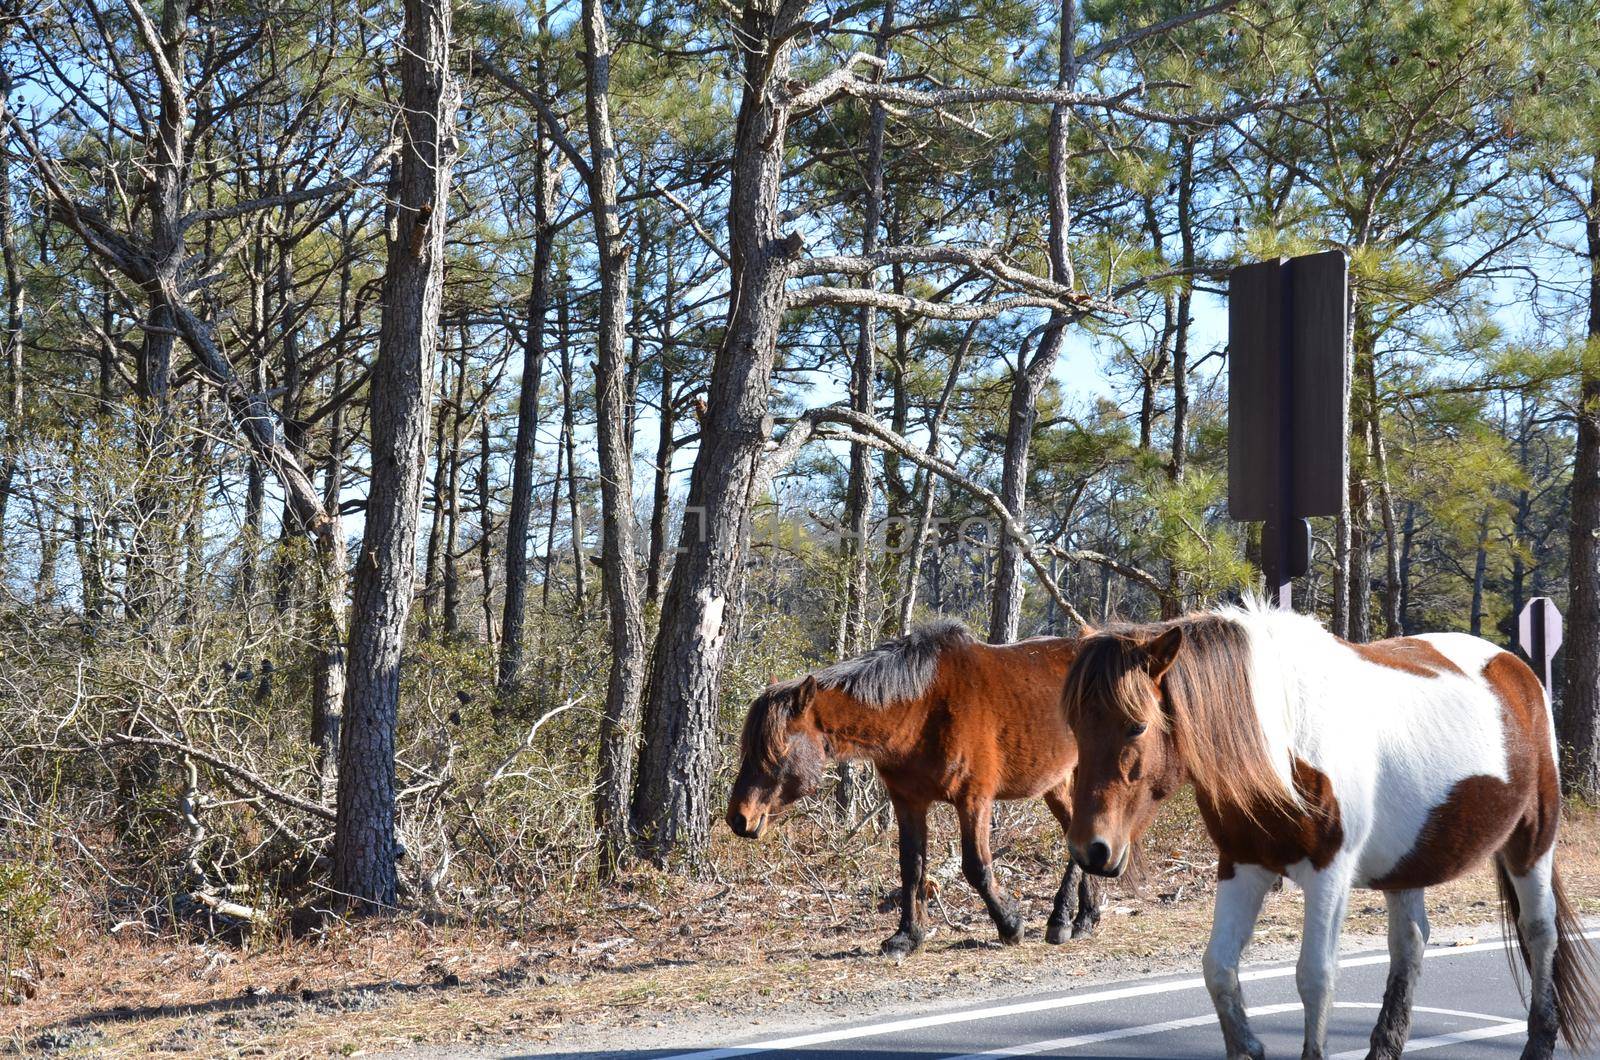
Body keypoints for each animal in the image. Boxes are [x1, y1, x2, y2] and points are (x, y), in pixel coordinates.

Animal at [726, 627, 1100, 960]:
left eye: (777, 750)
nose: (739, 818)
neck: (924, 709)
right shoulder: (909, 802)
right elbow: (912, 867)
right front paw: (907, 936)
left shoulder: (973, 800)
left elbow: (976, 867)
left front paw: (1010, 924)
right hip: (1057, 783)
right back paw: (1084, 918)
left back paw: (1062, 919)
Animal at [1056, 605, 1593, 1060]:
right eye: (1075, 726)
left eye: (1135, 726)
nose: (1092, 850)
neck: (1281, 738)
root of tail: (1517, 668)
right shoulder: (1242, 866)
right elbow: (1219, 969)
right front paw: (1248, 1047)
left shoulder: (1329, 873)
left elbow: (1315, 976)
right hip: (1409, 862)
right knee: (1410, 943)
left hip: (1532, 842)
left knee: (1540, 931)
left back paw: (1539, 1043)